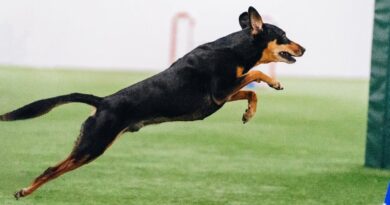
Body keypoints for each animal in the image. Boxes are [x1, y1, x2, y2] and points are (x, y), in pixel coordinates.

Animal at [0, 6, 304, 199]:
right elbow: (254, 74)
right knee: (52, 169)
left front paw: (249, 113)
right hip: (93, 144)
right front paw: (274, 83)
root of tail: (103, 102)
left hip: (91, 145)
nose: (304, 48)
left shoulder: (221, 96)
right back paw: (24, 191)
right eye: (284, 36)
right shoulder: (220, 91)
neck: (235, 49)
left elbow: (251, 91)